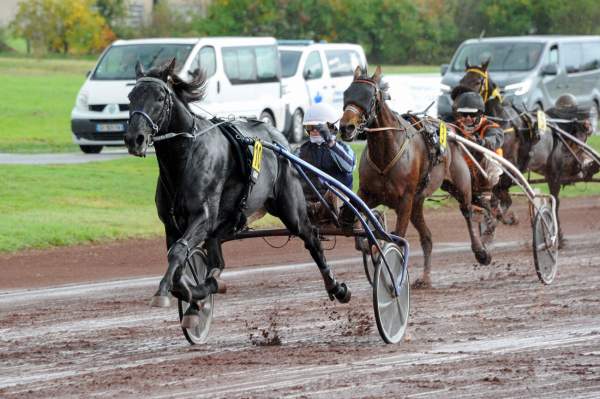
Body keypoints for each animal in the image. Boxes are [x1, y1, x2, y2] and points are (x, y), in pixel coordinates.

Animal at [125, 58, 352, 328]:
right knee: (217, 260)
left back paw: (337, 287)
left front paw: (164, 293)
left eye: (160, 97)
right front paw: (196, 296)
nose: (134, 138)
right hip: (226, 223)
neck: (186, 157)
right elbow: (178, 262)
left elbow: (179, 253)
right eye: (130, 96)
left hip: (289, 208)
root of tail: (280, 138)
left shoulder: (203, 217)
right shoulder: (172, 225)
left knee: (311, 237)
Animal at [340, 67, 490, 290]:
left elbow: (399, 236)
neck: (386, 153)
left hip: (459, 185)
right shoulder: (367, 193)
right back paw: (425, 278)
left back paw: (481, 252)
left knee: (467, 212)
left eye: (369, 97)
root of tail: (452, 130)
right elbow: (357, 219)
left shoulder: (405, 200)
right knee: (427, 238)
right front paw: (368, 244)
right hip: (417, 204)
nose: (345, 127)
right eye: (346, 93)